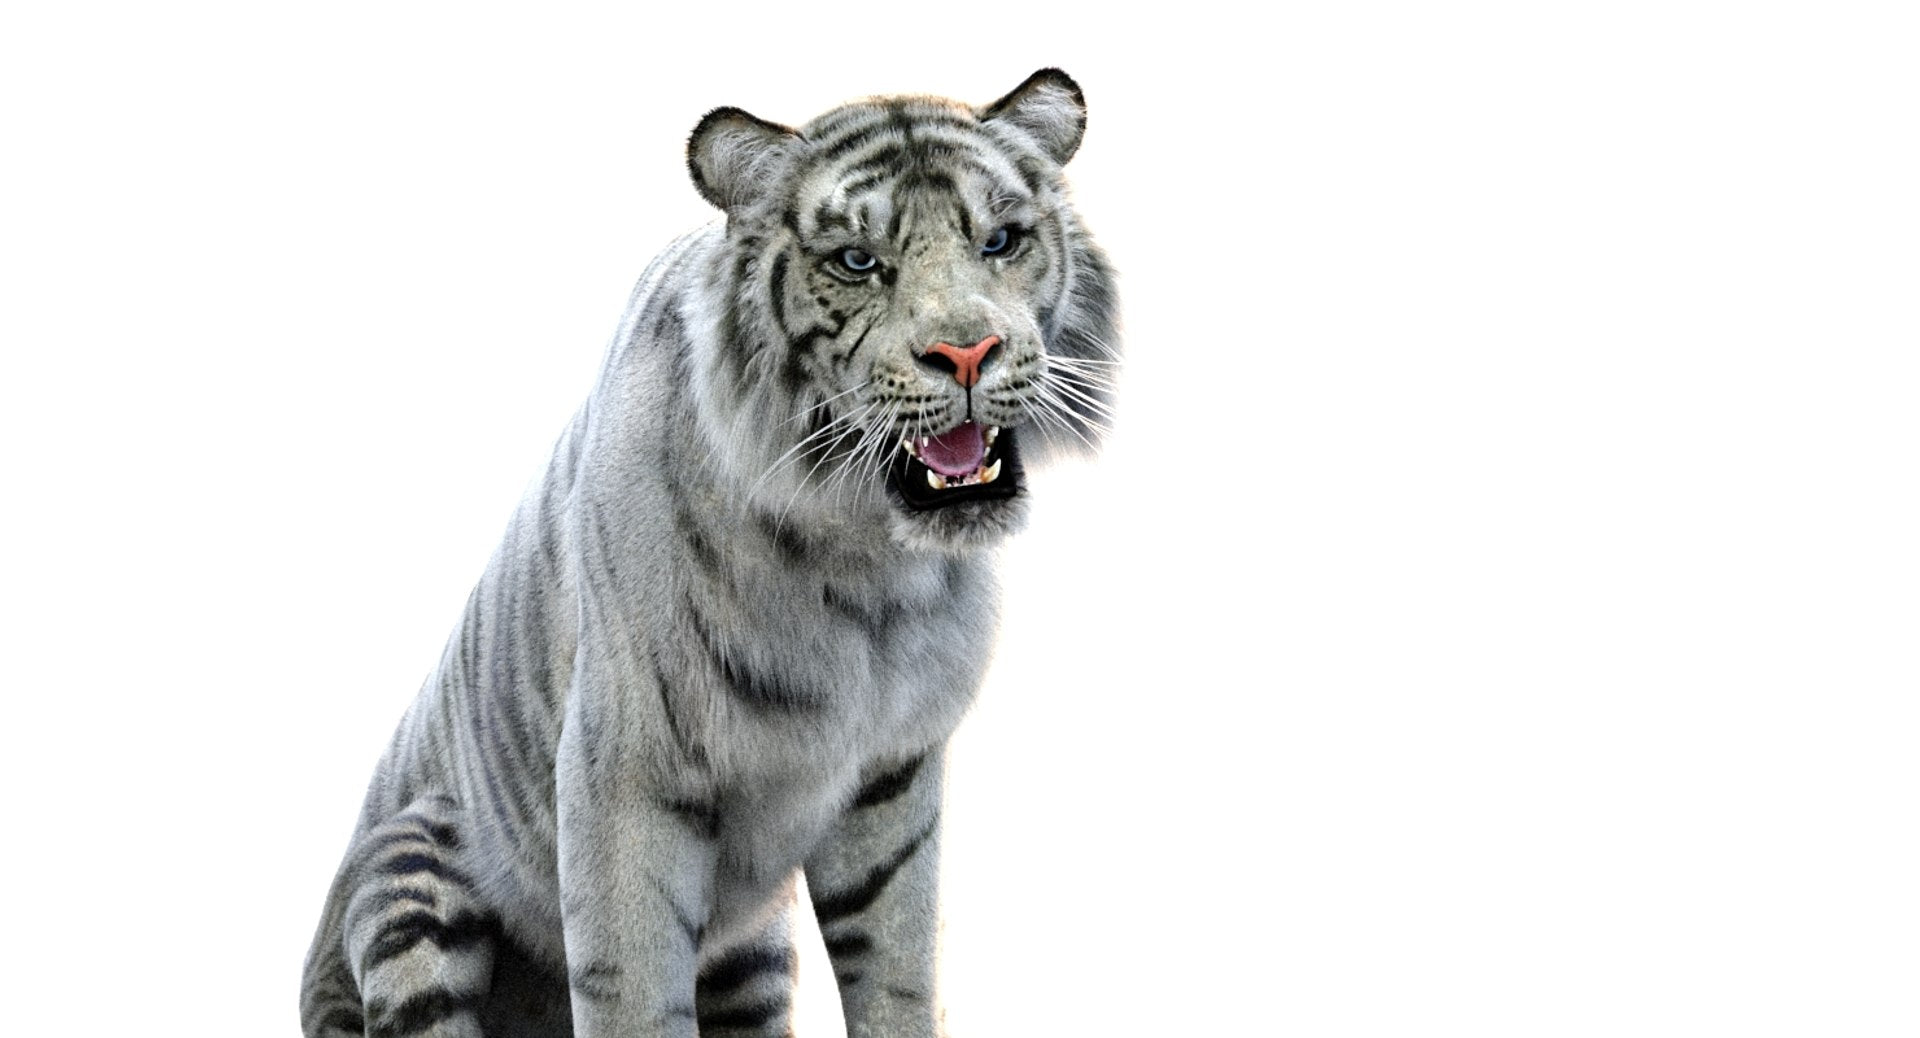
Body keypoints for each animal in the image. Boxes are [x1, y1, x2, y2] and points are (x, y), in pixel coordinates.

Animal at [300, 67, 1119, 1038]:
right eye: (857, 262)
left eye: (1001, 240)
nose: (966, 352)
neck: (869, 563)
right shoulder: (624, 775)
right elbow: (633, 992)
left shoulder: (894, 776)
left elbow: (896, 969)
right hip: (409, 880)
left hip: (752, 950)